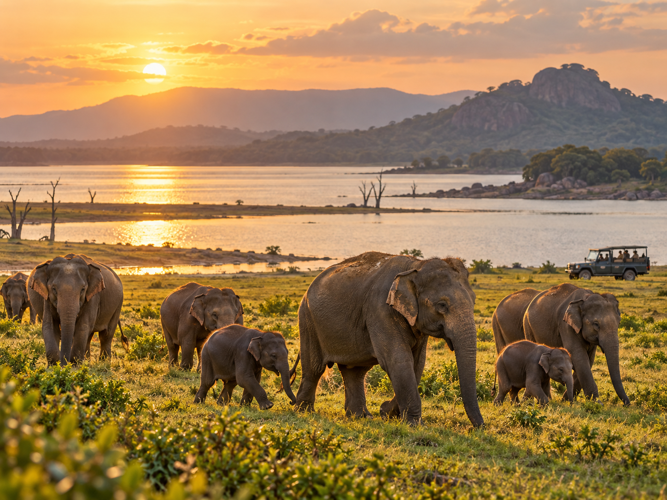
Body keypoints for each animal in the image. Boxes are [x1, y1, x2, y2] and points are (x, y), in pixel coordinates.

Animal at [295, 251, 483, 427]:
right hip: (307, 319)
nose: (477, 427)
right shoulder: (380, 310)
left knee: (354, 370)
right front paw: (414, 424)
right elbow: (398, 360)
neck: (416, 266)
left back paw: (360, 416)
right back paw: (304, 411)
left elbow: (417, 362)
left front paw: (389, 413)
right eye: (442, 305)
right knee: (314, 368)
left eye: (474, 301)